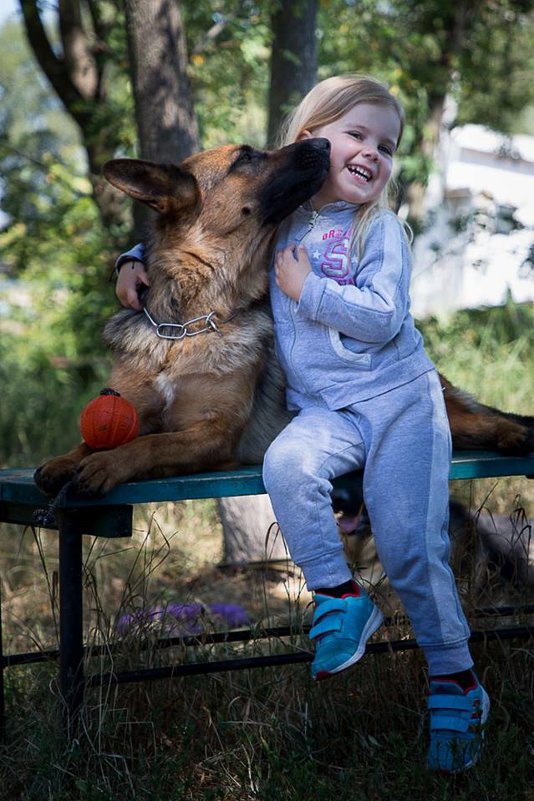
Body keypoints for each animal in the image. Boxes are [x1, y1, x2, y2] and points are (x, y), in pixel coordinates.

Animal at [34, 141, 534, 496]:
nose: (325, 144)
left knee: (482, 422)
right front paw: (65, 459)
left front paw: (106, 463)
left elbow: (147, 444)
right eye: (246, 157)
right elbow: (95, 438)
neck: (185, 326)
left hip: (445, 413)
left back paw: (513, 434)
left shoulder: (213, 433)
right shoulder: (134, 410)